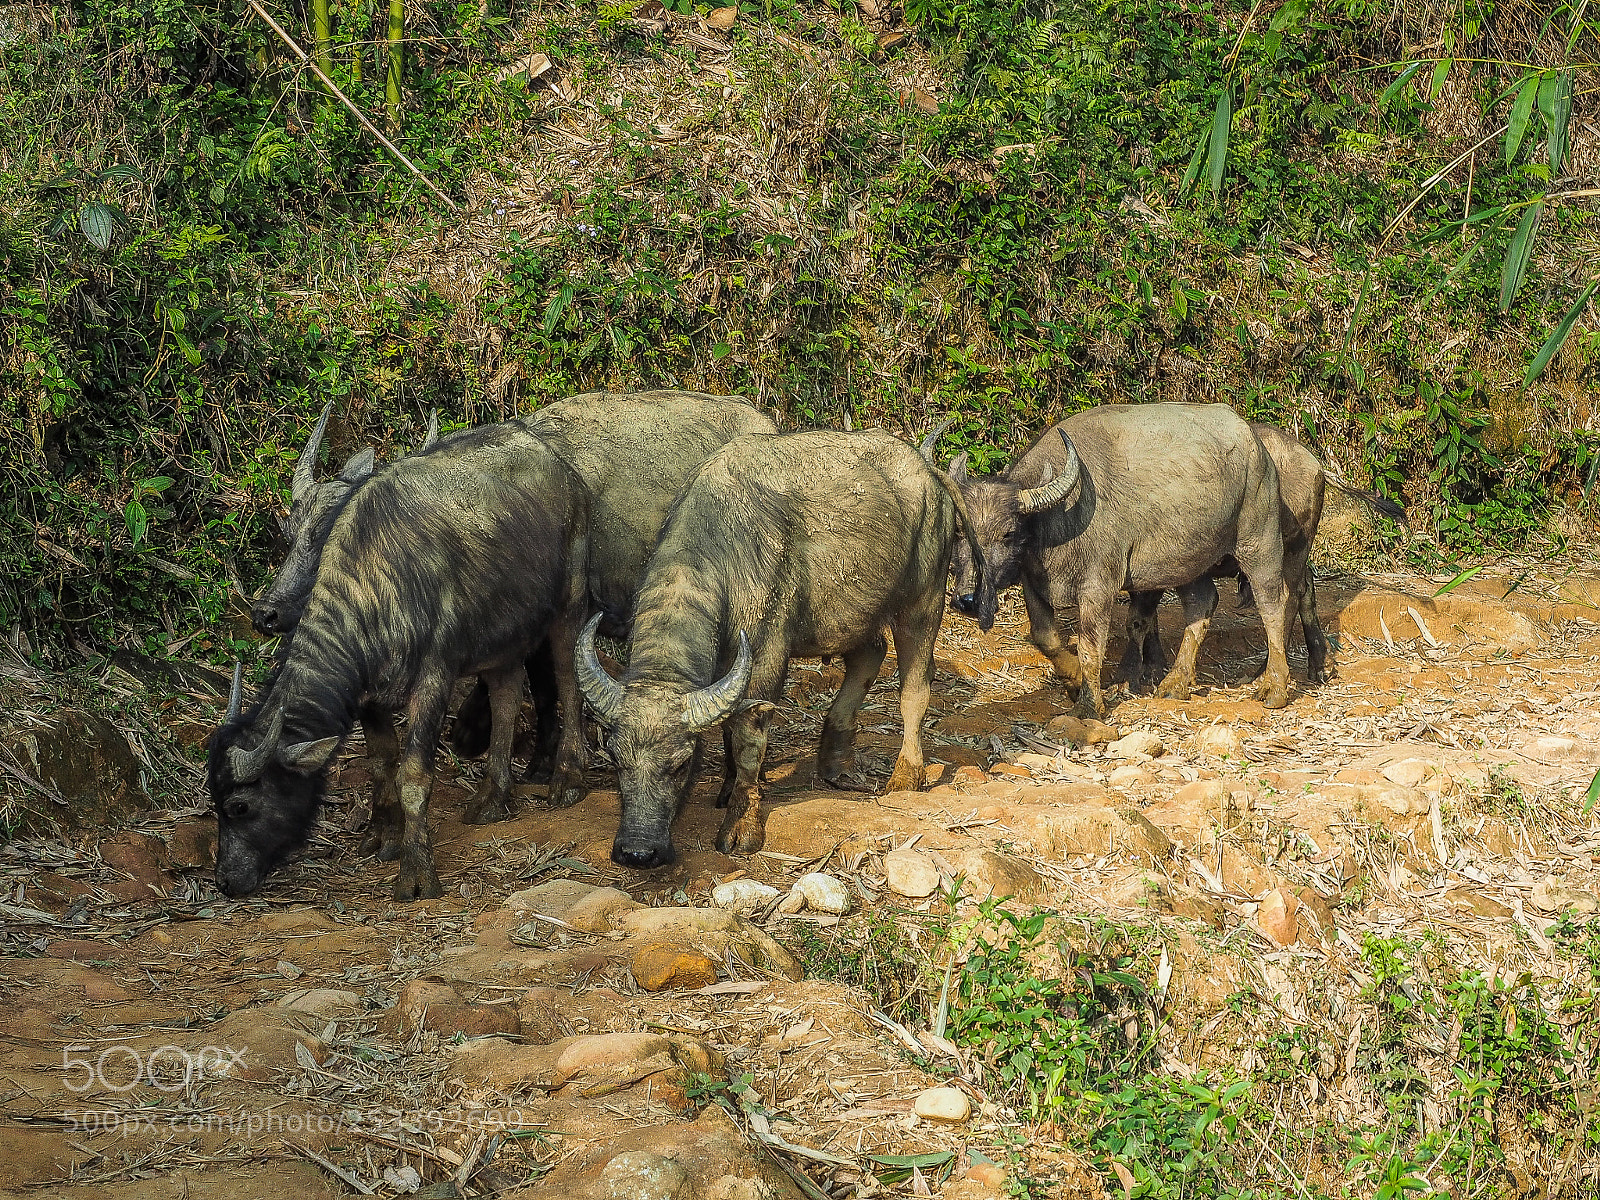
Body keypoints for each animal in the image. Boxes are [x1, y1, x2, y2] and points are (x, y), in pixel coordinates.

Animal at [576, 429, 994, 869]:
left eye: (681, 765)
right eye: (616, 759)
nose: (638, 851)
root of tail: (930, 469)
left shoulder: (764, 656)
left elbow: (747, 737)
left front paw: (741, 822)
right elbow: (728, 723)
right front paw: (727, 787)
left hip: (923, 600)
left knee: (915, 684)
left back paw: (905, 776)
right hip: (857, 606)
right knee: (870, 652)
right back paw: (833, 760)